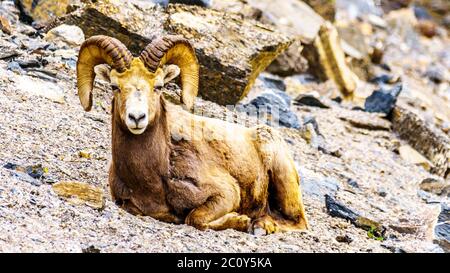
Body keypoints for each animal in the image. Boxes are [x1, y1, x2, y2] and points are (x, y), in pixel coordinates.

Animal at [77, 34, 310, 234]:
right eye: (115, 86)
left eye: (158, 86)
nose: (136, 117)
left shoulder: (226, 194)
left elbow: (194, 218)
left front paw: (242, 221)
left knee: (298, 222)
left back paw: (262, 225)